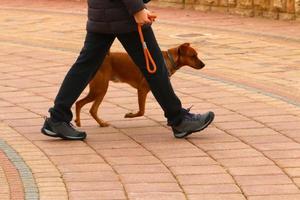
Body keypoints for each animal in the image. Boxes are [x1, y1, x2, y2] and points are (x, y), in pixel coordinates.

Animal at [75, 42, 206, 126]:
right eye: (193, 56)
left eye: (196, 55)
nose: (203, 65)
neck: (168, 60)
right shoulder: (142, 89)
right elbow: (141, 111)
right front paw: (129, 115)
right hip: (99, 90)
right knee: (79, 103)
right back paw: (79, 122)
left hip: (101, 91)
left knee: (92, 110)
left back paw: (101, 123)